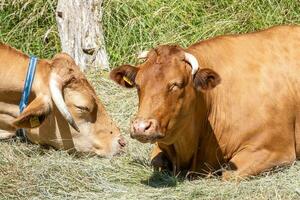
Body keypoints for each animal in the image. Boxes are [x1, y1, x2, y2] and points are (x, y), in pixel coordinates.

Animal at [110, 25, 300, 180]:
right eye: (138, 85)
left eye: (176, 84)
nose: (141, 127)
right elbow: (156, 162)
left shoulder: (275, 150)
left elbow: (227, 175)